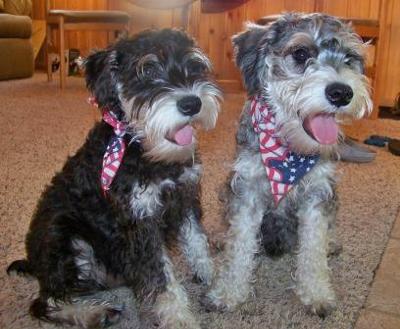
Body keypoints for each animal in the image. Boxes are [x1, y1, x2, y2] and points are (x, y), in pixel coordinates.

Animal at [205, 14, 374, 316]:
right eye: (301, 53)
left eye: (350, 57)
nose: (342, 92)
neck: (288, 150)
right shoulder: (247, 190)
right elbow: (240, 246)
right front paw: (228, 293)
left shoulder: (318, 193)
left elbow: (313, 248)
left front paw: (316, 293)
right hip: (225, 188)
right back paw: (221, 237)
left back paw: (331, 243)